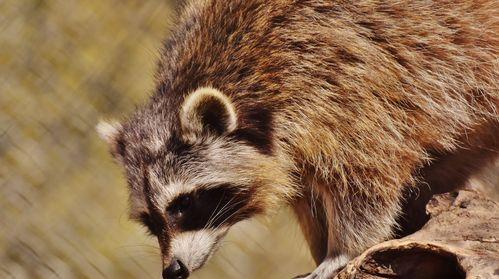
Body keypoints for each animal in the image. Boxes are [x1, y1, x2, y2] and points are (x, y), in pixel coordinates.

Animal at [99, 1, 498, 278]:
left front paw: (343, 251)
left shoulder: (344, 85)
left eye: (183, 204)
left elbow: (366, 177)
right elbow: (309, 194)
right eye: (150, 221)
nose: (173, 270)